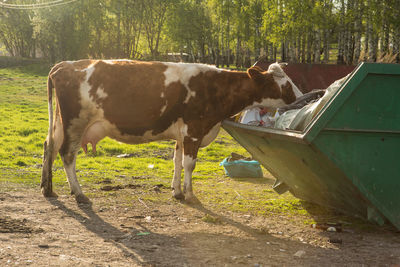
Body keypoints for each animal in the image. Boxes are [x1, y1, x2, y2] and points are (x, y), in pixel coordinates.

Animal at [40, 60, 302, 203]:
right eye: (285, 84)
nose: (301, 97)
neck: (216, 88)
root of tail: (65, 64)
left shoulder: (181, 134)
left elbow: (176, 161)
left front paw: (176, 191)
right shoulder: (194, 130)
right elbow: (189, 164)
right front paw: (190, 193)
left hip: (61, 123)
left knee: (49, 146)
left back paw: (48, 189)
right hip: (75, 122)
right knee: (66, 154)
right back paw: (78, 193)